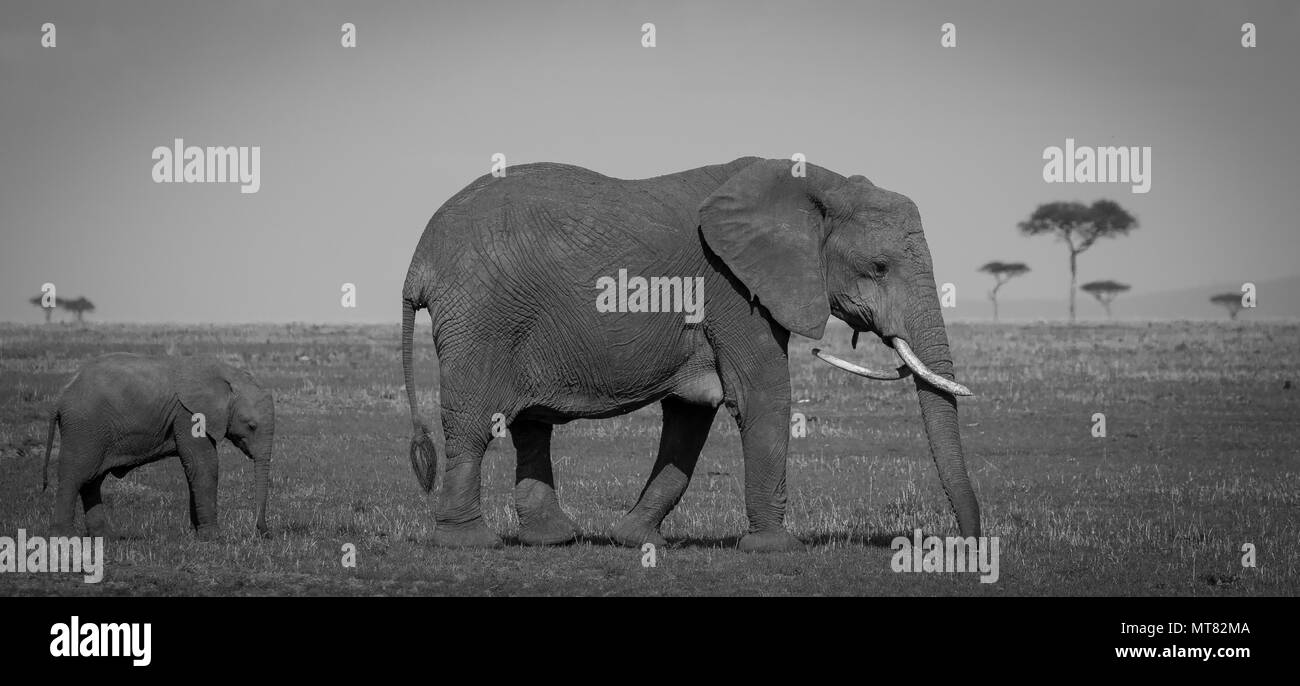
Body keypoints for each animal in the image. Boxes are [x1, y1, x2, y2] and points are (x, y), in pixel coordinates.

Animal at [42, 353, 274, 540]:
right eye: (251, 426)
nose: (264, 533)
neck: (229, 376)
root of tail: (61, 395)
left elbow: (193, 468)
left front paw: (196, 534)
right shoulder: (188, 414)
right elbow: (204, 465)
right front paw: (214, 537)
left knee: (92, 480)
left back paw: (106, 537)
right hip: (84, 428)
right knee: (75, 475)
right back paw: (64, 537)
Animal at [400, 157, 977, 548]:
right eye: (878, 267)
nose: (968, 542)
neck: (815, 185)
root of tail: (419, 258)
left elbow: (691, 413)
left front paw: (636, 540)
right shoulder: (731, 286)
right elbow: (762, 397)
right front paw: (776, 549)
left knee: (530, 426)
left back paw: (556, 539)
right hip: (482, 316)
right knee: (475, 423)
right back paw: (468, 542)